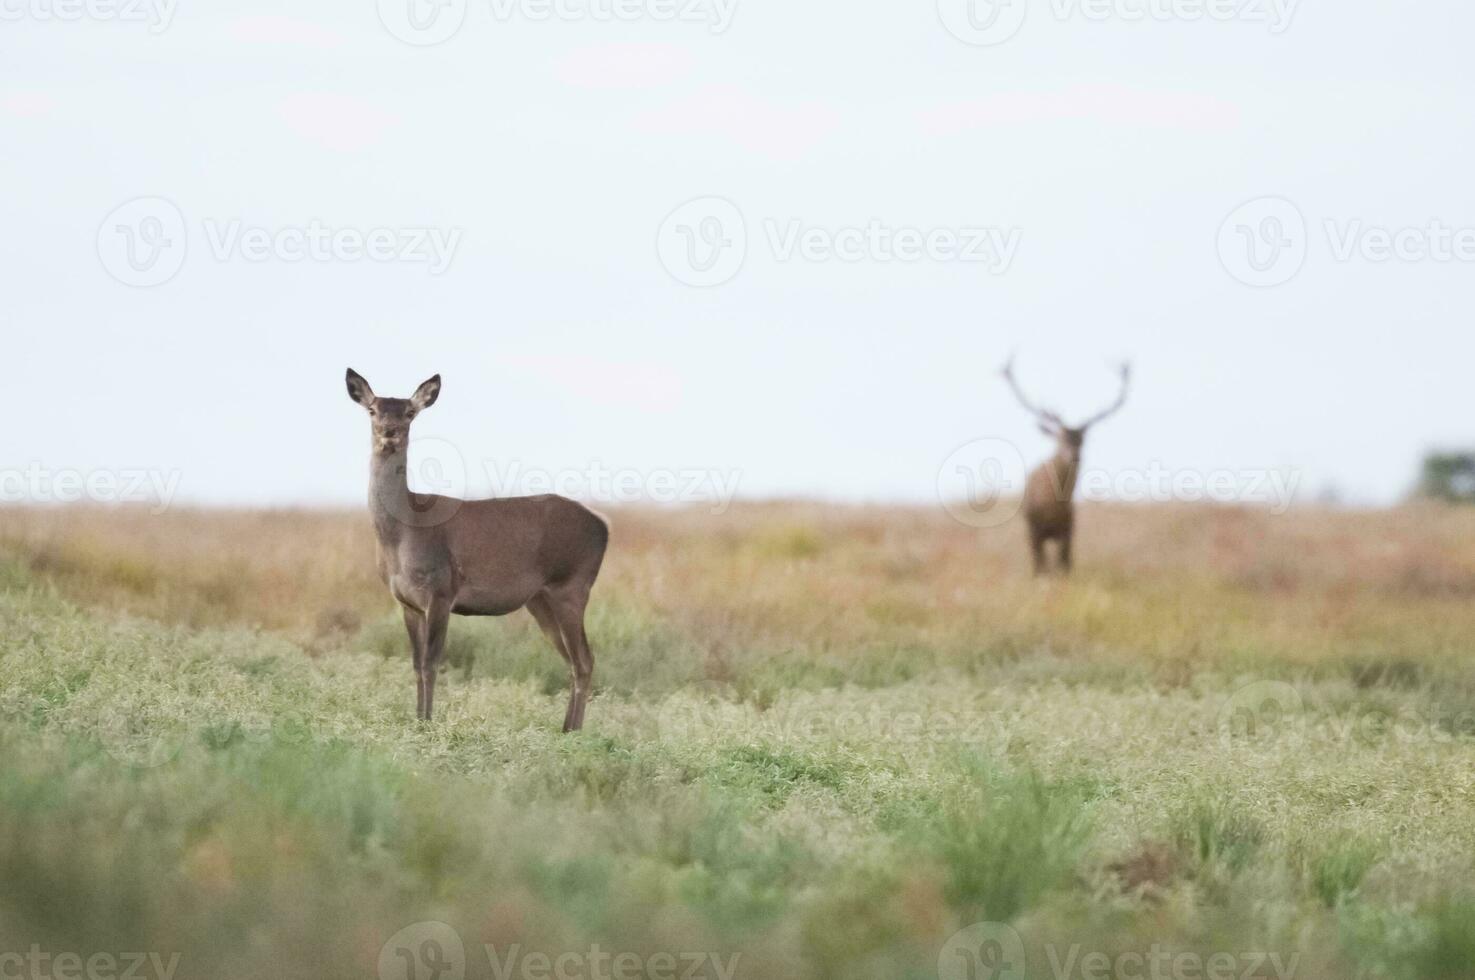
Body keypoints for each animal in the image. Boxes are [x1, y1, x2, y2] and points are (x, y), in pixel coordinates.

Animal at [1003, 358, 1126, 575]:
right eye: (1060, 438)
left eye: (1083, 439)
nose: (1074, 455)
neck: (1052, 507)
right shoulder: (1034, 529)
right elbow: (1040, 566)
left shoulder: (1069, 528)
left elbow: (1064, 564)